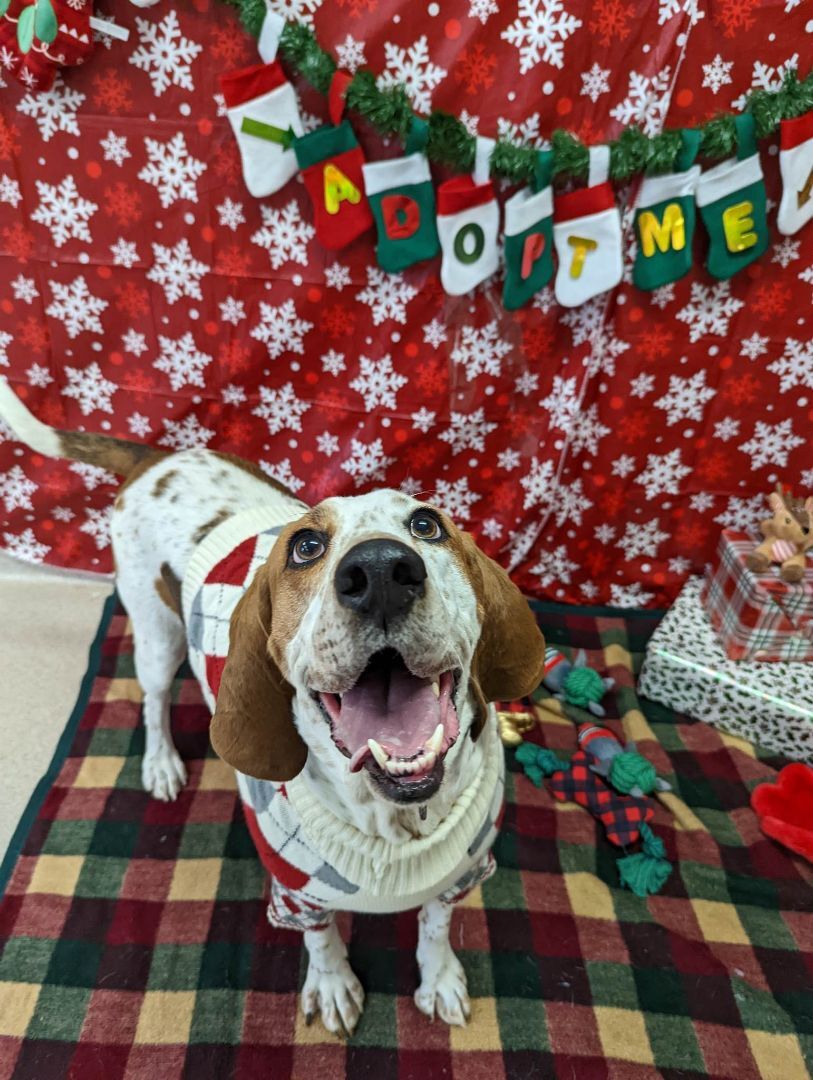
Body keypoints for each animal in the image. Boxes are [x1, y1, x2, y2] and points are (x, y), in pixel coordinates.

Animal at [3, 382, 546, 1036]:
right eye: (306, 546)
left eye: (426, 523)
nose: (381, 570)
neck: (392, 823)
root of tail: (158, 457)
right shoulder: (297, 893)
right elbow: (322, 940)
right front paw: (333, 984)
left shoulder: (464, 872)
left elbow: (436, 927)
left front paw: (438, 977)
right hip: (156, 636)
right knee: (154, 702)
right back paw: (161, 763)